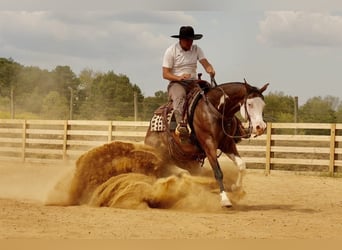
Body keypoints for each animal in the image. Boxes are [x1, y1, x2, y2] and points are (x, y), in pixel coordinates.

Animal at [144, 78, 270, 207]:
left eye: (263, 105)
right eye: (250, 104)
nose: (261, 127)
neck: (214, 110)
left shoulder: (227, 144)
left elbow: (241, 165)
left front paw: (235, 187)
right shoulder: (209, 145)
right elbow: (218, 172)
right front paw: (225, 199)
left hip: (187, 161)